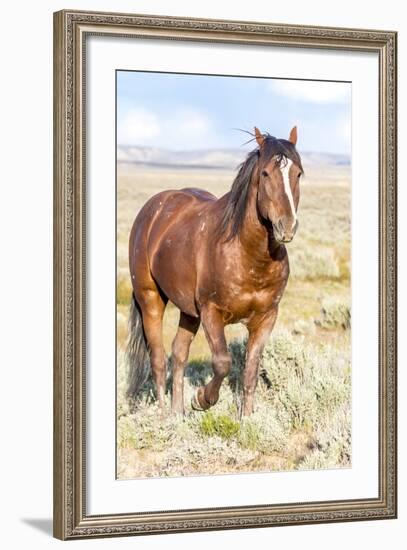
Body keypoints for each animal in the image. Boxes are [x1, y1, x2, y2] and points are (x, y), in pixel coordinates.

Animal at [126, 126, 302, 418]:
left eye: (298, 173)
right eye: (266, 173)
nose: (286, 226)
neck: (249, 256)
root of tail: (154, 208)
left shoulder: (266, 317)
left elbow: (251, 371)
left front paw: (247, 419)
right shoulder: (212, 312)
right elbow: (222, 362)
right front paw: (202, 399)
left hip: (188, 311)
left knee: (179, 353)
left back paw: (177, 414)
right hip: (150, 299)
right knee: (159, 359)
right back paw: (163, 416)